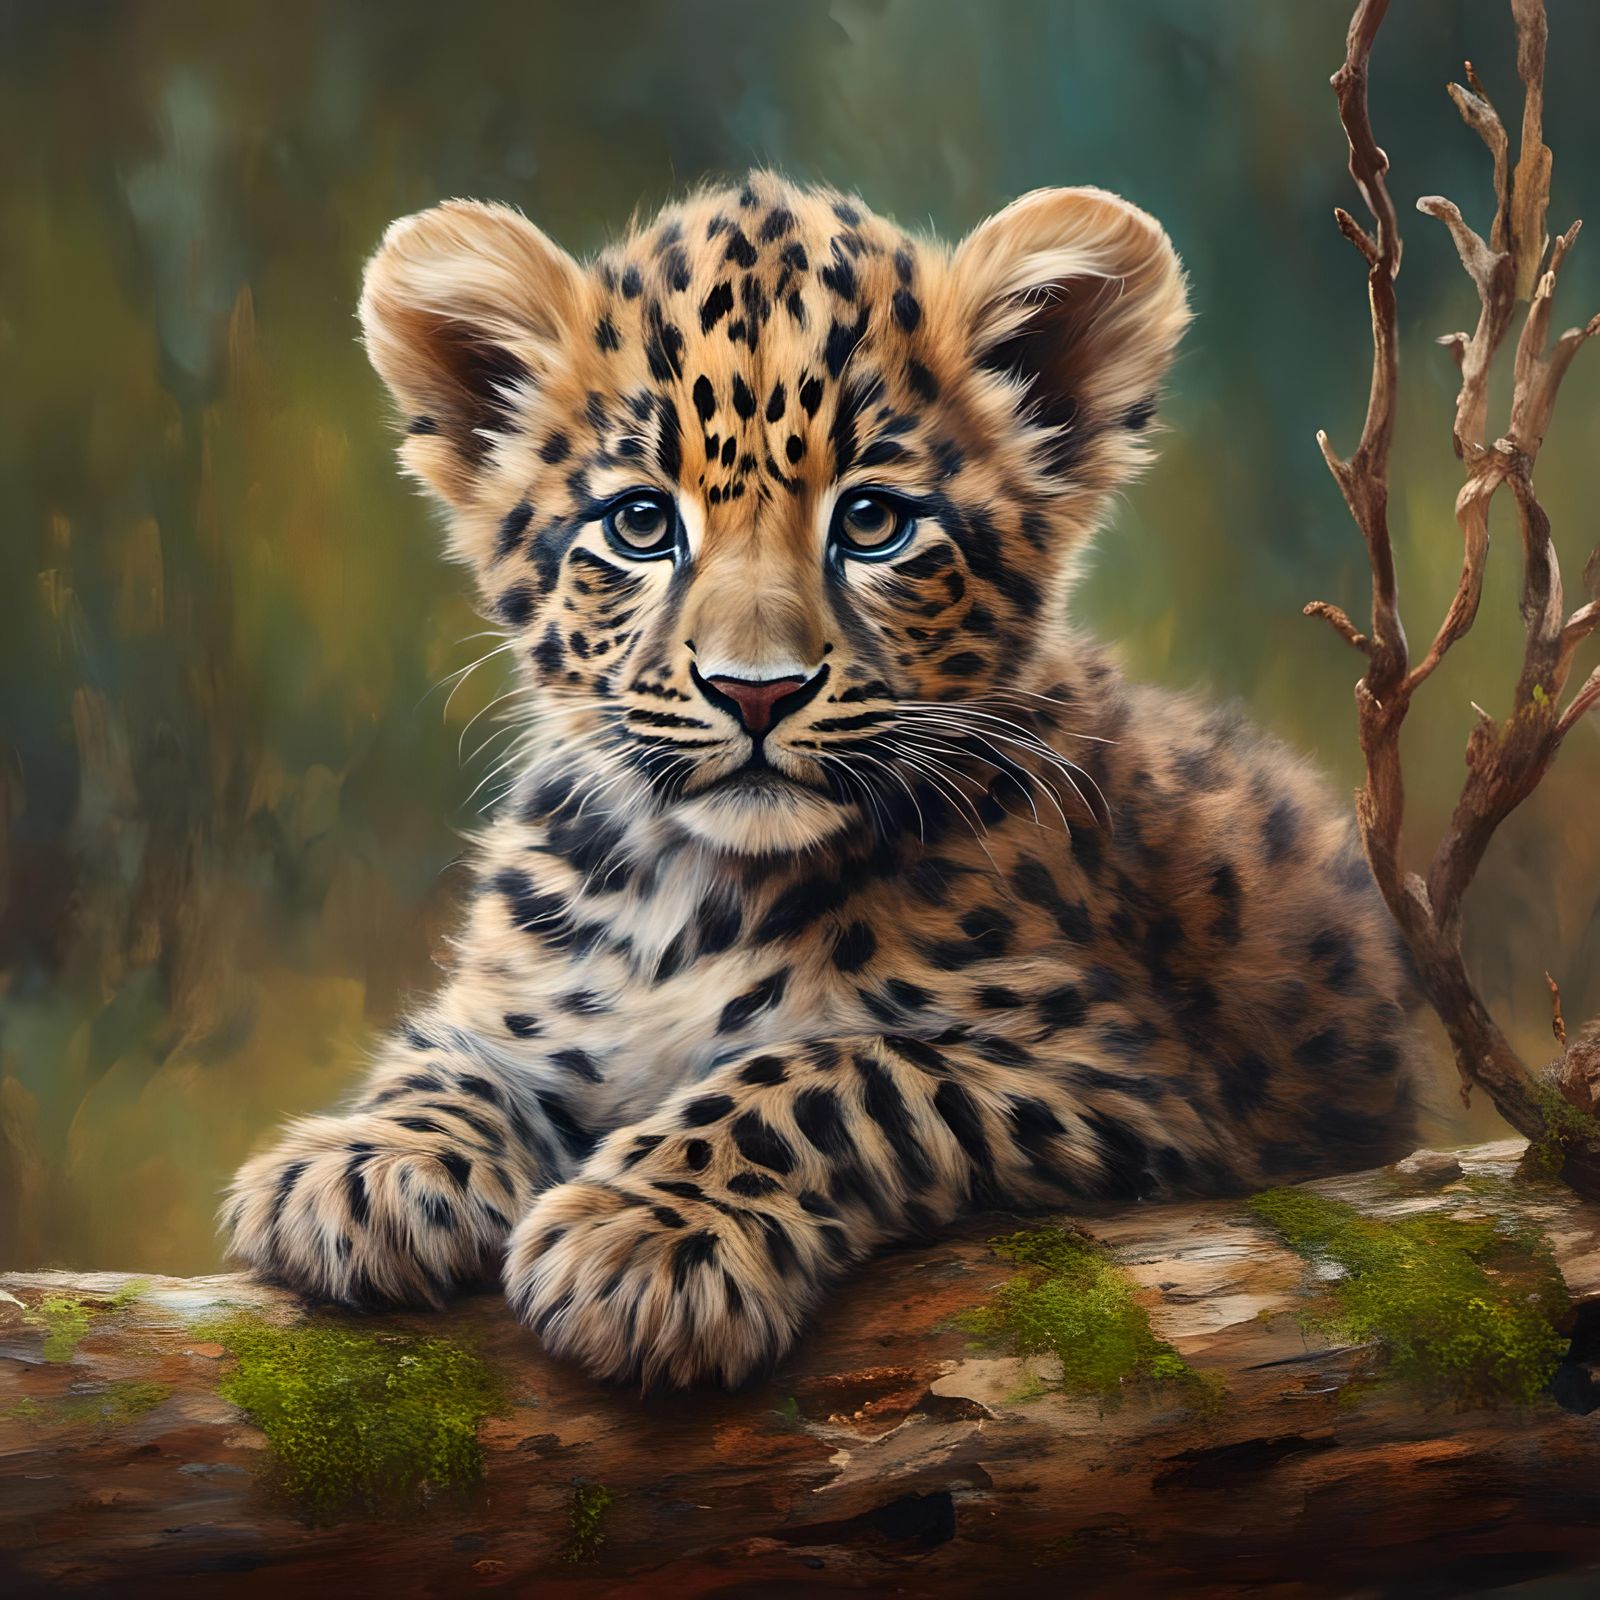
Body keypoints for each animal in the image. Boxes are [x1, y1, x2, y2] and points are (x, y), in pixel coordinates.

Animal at [223, 172, 1417, 1389]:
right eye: (641, 523)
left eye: (874, 521)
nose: (756, 693)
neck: (689, 894)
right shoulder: (528, 1003)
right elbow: (453, 1053)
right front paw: (363, 1165)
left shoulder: (1123, 1076)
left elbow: (834, 1071)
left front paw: (644, 1239)